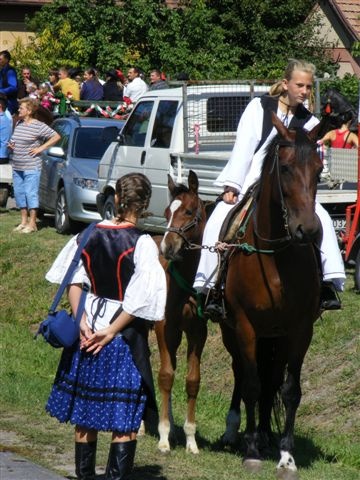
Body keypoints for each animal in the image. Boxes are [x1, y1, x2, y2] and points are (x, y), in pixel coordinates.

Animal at [219, 113, 324, 476]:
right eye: (287, 168)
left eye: (319, 169)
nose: (309, 230)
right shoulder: (244, 325)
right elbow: (251, 383)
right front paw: (251, 449)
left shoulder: (300, 330)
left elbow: (288, 390)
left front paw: (286, 456)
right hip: (232, 331)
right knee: (241, 372)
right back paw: (236, 431)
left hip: (275, 336)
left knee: (271, 379)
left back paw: (265, 434)